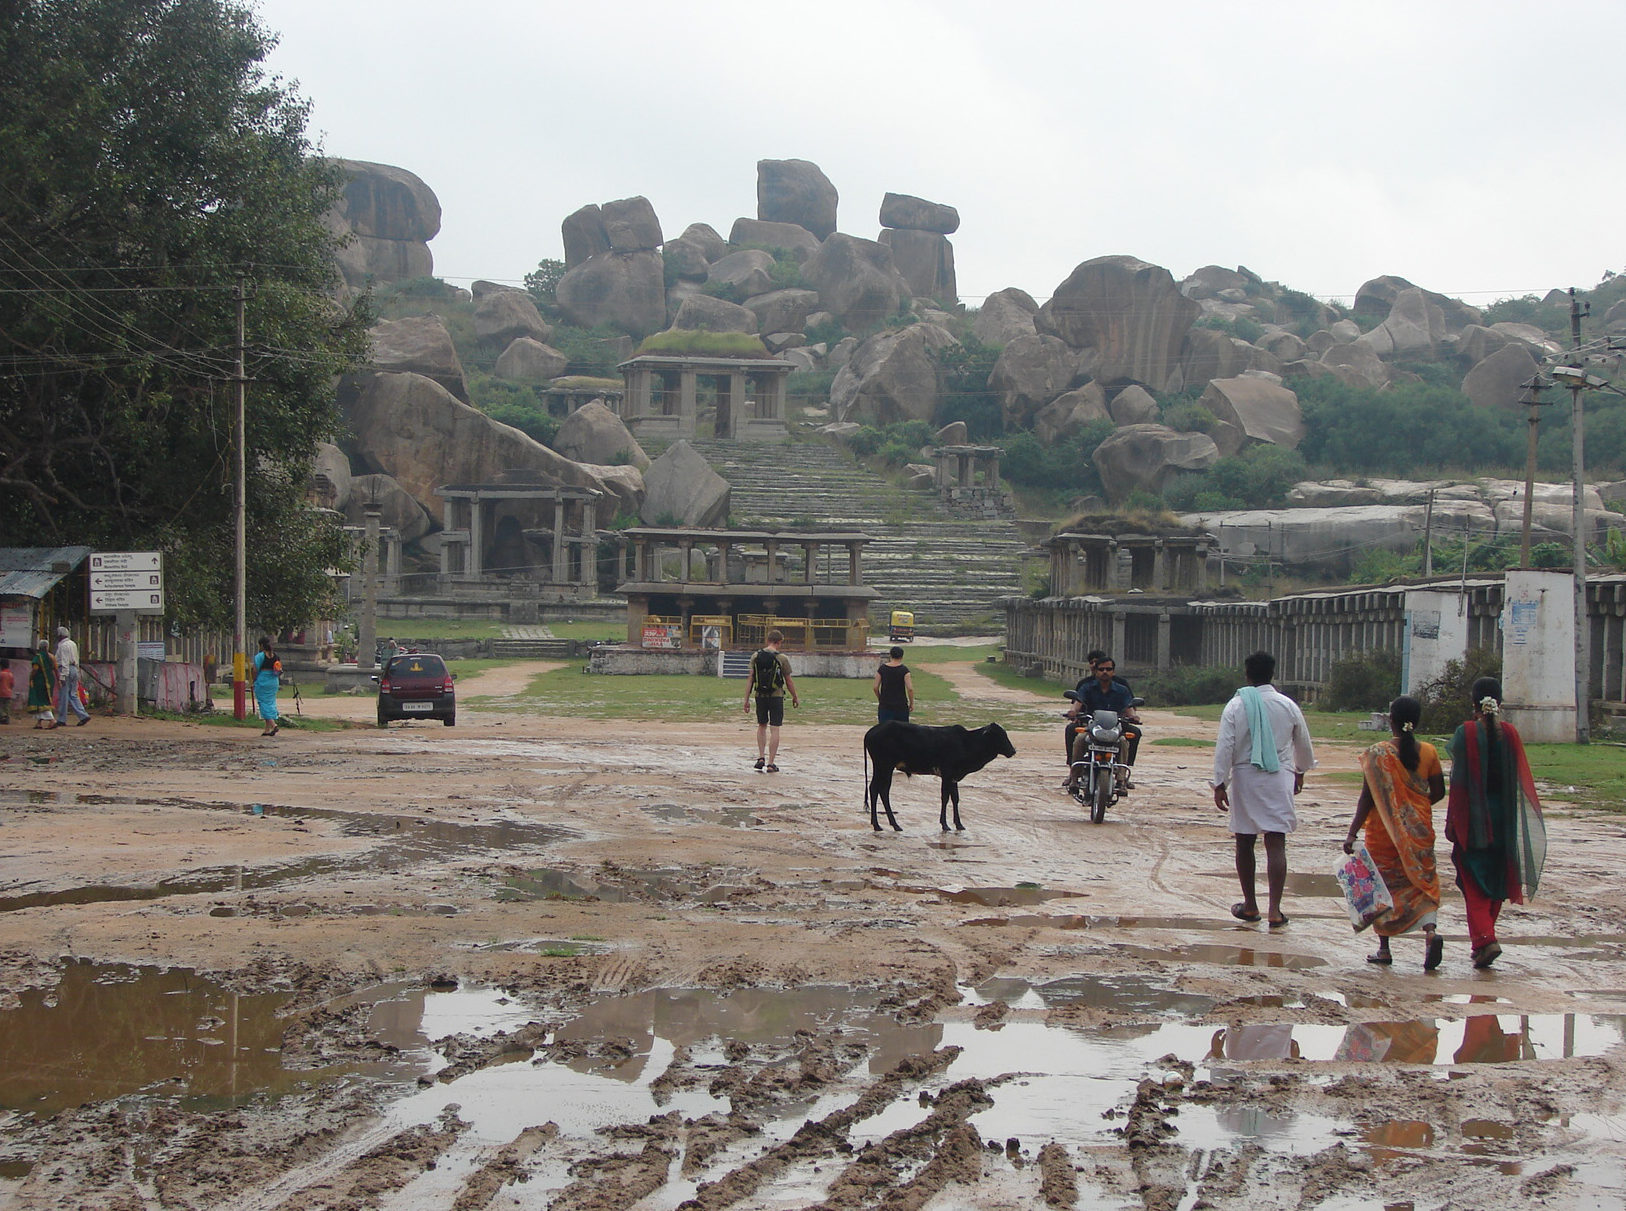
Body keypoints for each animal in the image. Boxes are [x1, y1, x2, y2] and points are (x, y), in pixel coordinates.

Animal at [865, 718, 1014, 832]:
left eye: (1005, 734)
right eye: (998, 735)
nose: (1013, 751)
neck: (966, 742)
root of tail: (871, 731)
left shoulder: (953, 777)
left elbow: (955, 798)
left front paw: (959, 824)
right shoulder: (947, 774)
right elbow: (945, 798)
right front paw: (945, 824)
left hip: (881, 768)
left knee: (876, 789)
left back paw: (880, 824)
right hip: (885, 766)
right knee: (880, 790)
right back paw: (887, 825)